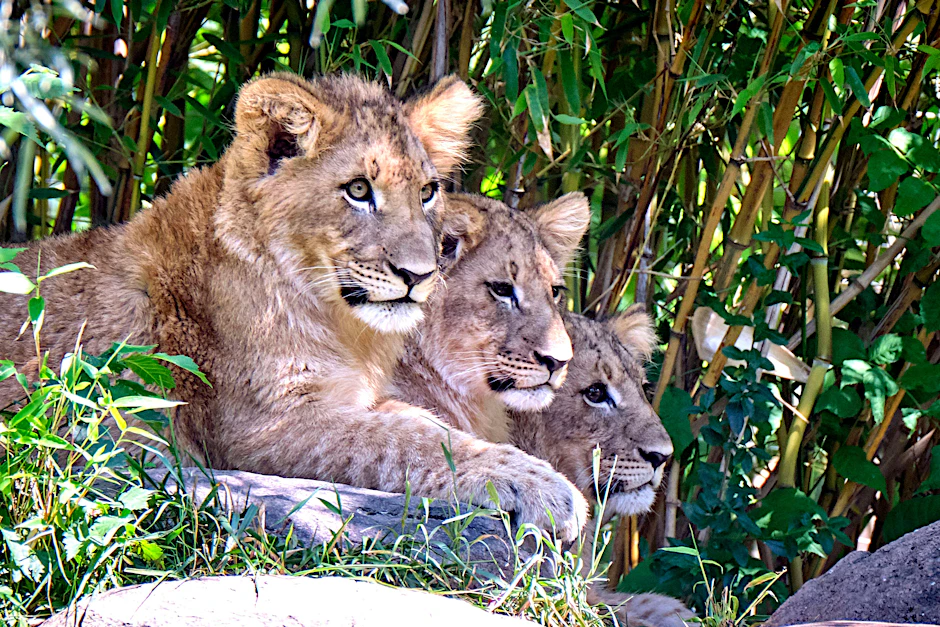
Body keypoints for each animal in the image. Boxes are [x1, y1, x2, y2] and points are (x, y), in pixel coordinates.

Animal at [0, 73, 585, 540]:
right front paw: (544, 488)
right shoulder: (254, 430)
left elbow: (429, 429)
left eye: (426, 193)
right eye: (357, 190)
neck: (341, 324)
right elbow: (404, 442)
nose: (420, 276)